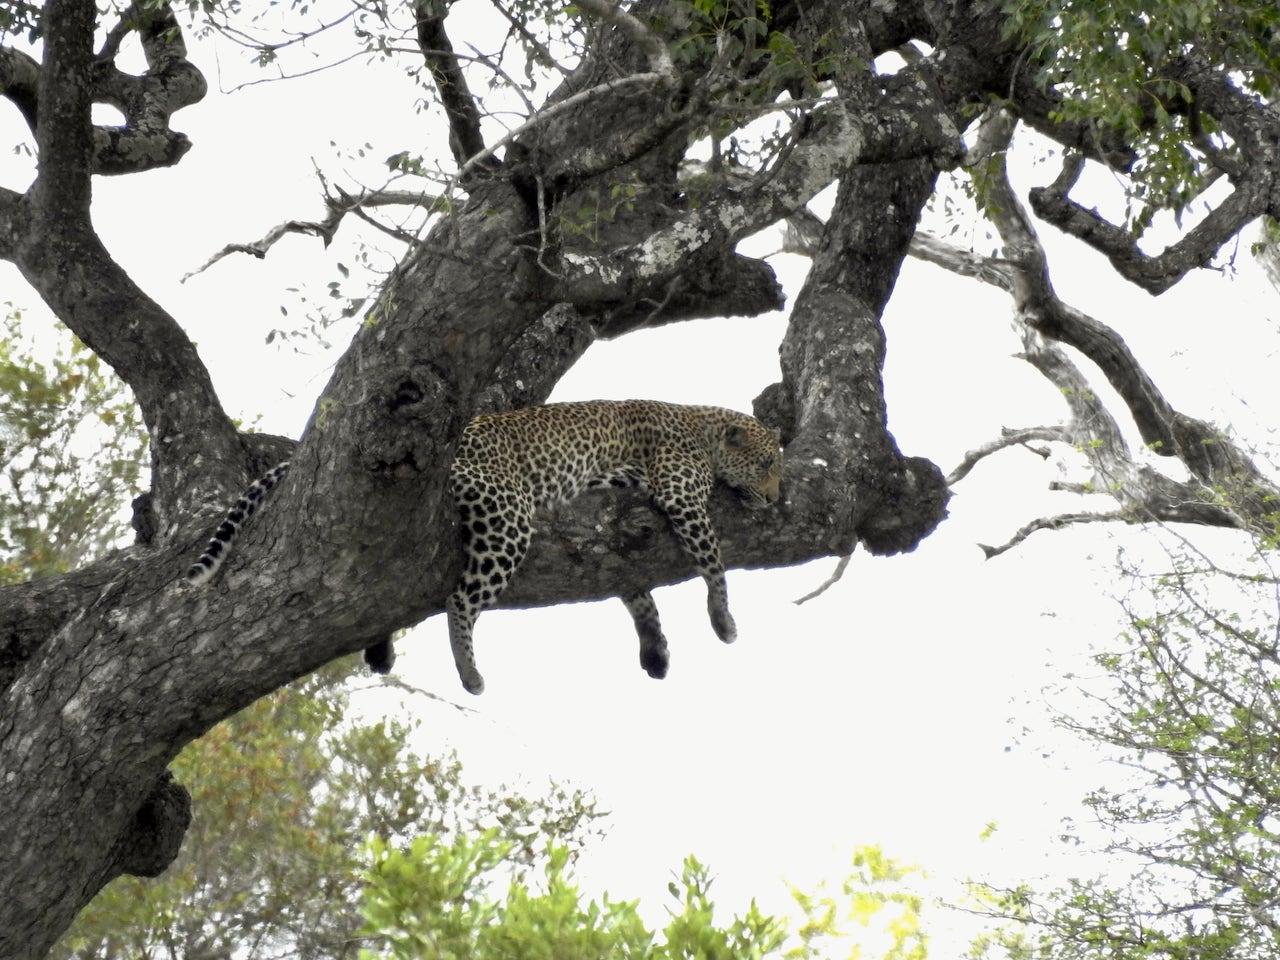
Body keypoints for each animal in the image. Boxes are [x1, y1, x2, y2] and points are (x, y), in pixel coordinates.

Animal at [185, 400, 783, 695]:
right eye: (767, 464)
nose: (779, 497)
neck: (701, 425)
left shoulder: (616, 535)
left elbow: (636, 591)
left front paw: (655, 647)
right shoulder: (681, 494)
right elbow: (715, 564)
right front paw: (723, 619)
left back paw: (382, 649)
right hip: (508, 517)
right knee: (460, 600)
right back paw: (468, 672)